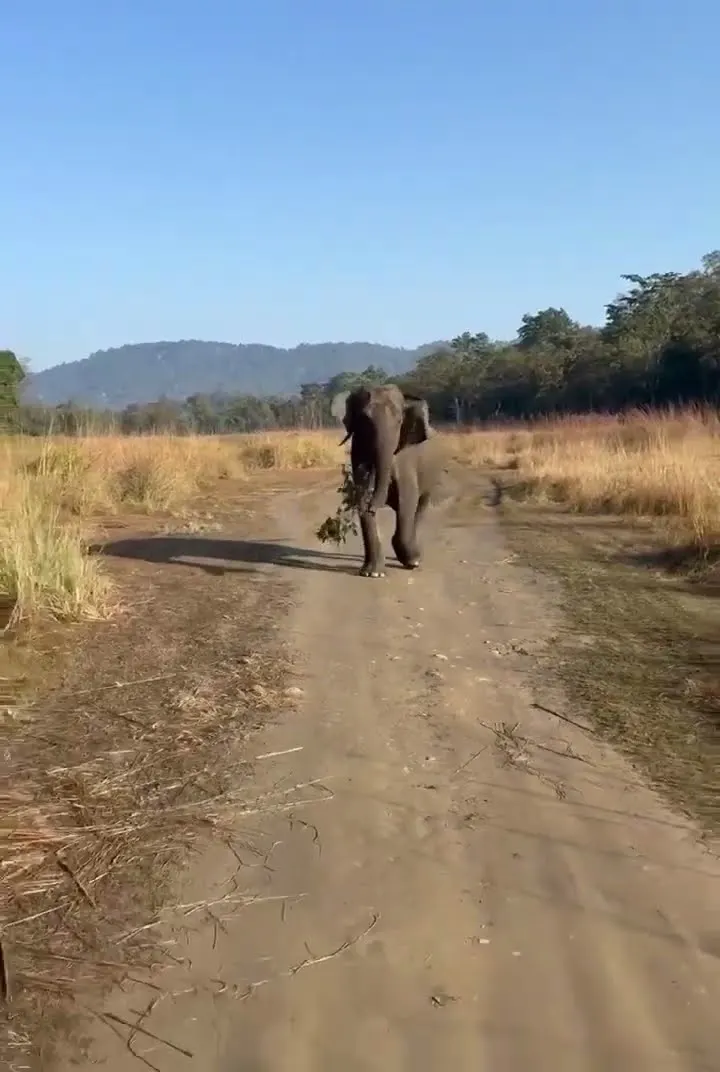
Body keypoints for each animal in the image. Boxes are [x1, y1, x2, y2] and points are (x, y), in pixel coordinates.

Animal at [330, 383, 442, 577]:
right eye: (365, 420)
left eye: (399, 421)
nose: (374, 506)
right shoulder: (358, 450)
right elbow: (360, 494)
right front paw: (373, 573)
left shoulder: (405, 455)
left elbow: (407, 498)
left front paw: (410, 561)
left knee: (419, 507)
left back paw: (414, 558)